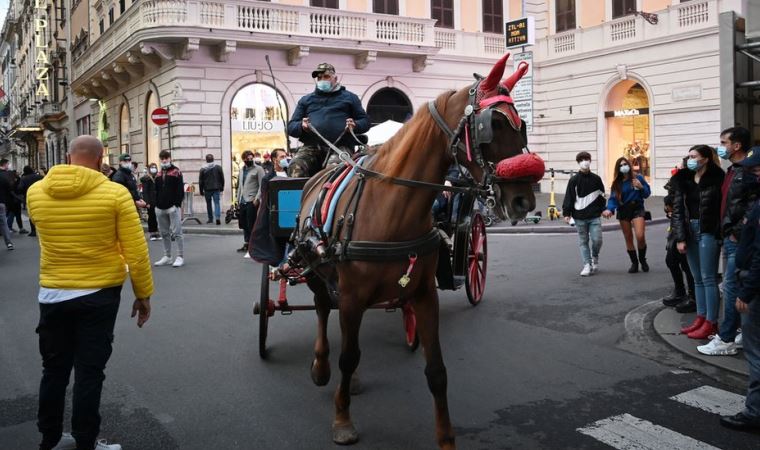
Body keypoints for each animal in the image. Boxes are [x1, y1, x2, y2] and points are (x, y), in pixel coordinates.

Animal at [290, 54, 540, 448]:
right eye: (493, 124)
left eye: (523, 126)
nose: (524, 201)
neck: (392, 205)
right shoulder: (353, 295)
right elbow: (348, 355)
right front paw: (342, 418)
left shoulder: (423, 295)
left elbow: (436, 370)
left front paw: (446, 437)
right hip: (317, 270)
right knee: (321, 310)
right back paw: (320, 365)